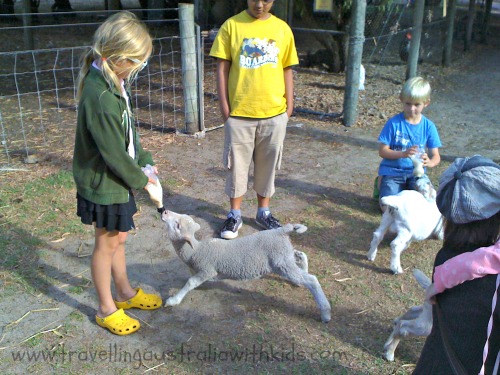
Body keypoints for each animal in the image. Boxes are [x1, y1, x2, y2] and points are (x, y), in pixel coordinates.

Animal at [161, 210, 332, 324]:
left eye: (177, 225)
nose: (164, 211)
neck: (195, 250)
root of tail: (281, 231)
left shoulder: (207, 269)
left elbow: (191, 282)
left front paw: (173, 300)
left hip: (281, 261)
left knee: (312, 280)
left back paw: (325, 313)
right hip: (284, 256)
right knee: (300, 256)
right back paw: (303, 270)